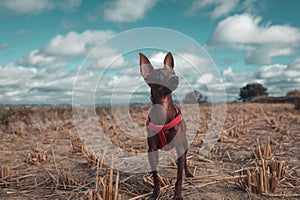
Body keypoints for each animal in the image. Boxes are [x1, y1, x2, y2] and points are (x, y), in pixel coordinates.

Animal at [140, 52, 193, 200]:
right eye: (159, 75)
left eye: (173, 73)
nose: (176, 77)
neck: (163, 108)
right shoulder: (152, 150)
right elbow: (155, 176)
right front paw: (156, 193)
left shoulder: (180, 147)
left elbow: (179, 177)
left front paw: (178, 195)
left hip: (185, 144)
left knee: (185, 161)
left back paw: (188, 173)